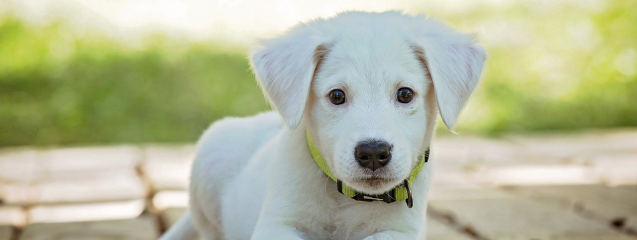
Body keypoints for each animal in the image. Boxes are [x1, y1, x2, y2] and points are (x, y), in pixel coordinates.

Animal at [160, 10, 486, 240]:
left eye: (405, 94)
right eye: (337, 96)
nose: (373, 153)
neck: (347, 199)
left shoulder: (400, 232)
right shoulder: (277, 224)